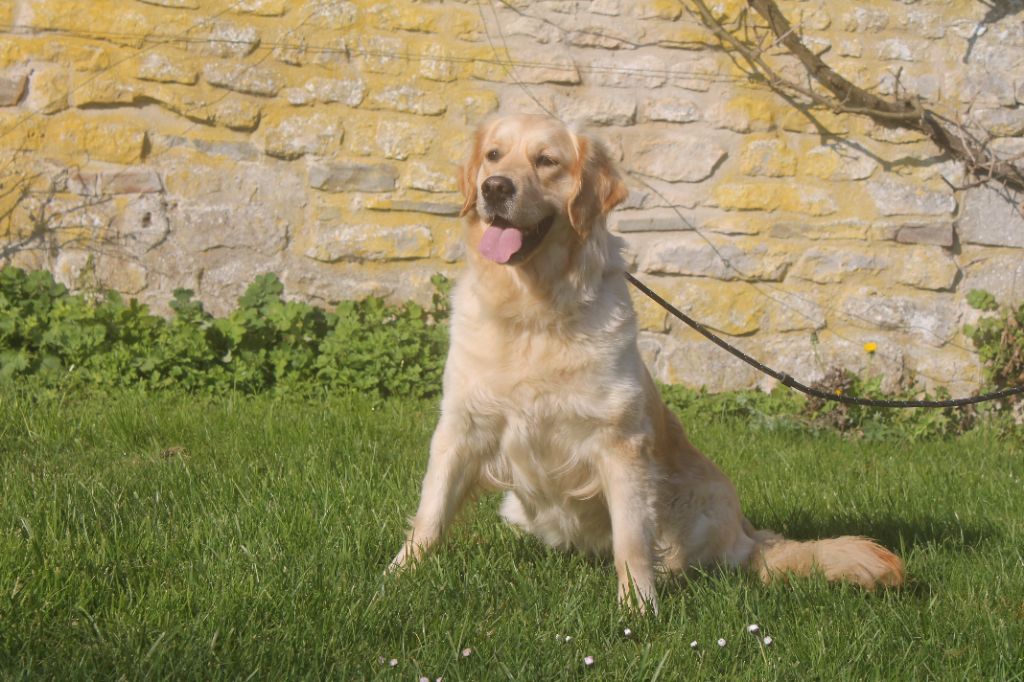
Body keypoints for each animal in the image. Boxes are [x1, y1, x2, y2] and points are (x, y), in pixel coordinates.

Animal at [389, 114, 903, 612]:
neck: (533, 310)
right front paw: (397, 576)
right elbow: (431, 509)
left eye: (547, 161)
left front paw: (638, 608)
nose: (494, 187)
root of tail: (749, 533)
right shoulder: (461, 424)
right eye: (494, 154)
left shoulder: (621, 444)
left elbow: (632, 541)